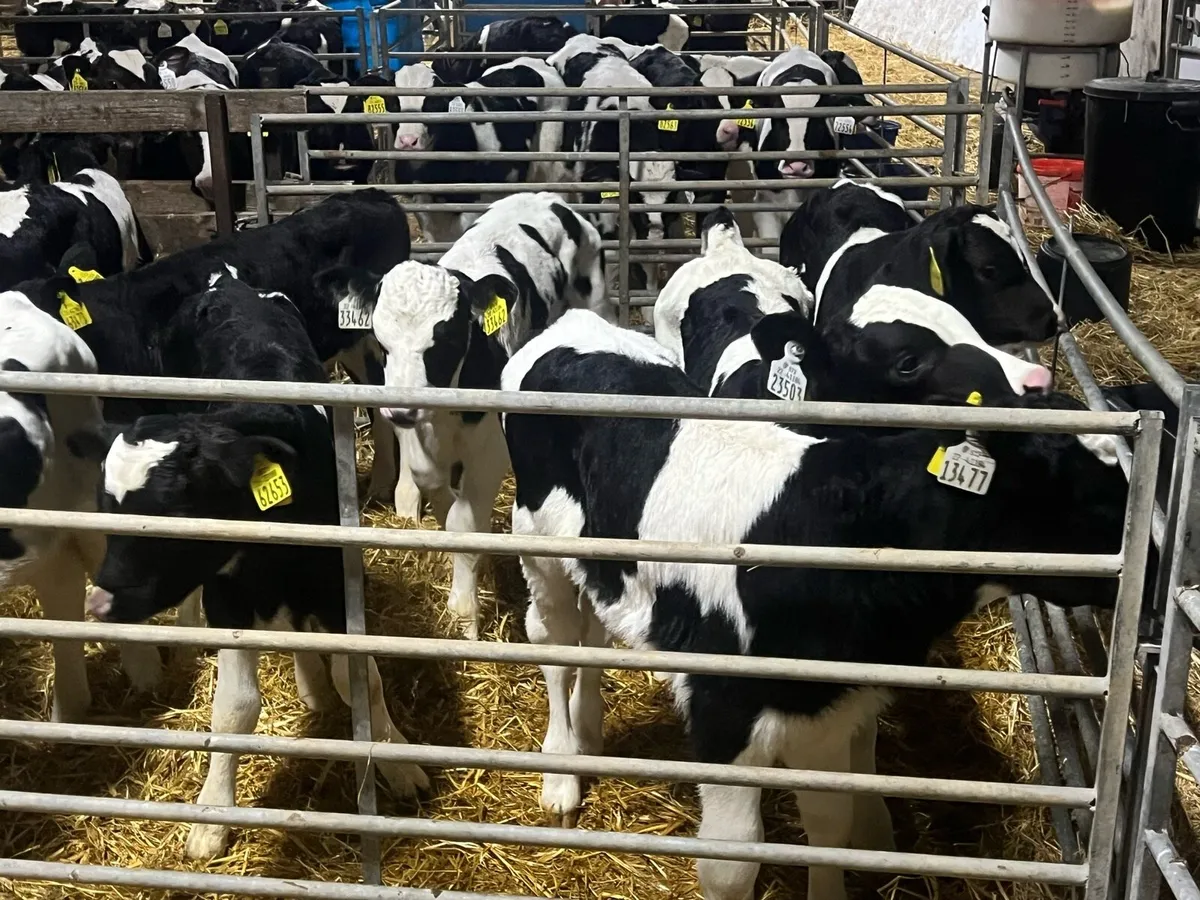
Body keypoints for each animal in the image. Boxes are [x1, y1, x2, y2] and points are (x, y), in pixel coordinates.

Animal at [68, 274, 428, 860]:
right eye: (105, 506)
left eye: (176, 512)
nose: (99, 603)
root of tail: (228, 284)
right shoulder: (228, 598)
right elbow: (235, 707)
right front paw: (214, 815)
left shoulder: (334, 582)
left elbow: (361, 680)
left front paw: (398, 761)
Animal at [357, 192, 611, 638]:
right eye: (382, 342)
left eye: (445, 339)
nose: (401, 408)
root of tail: (550, 198)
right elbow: (435, 488)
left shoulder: (490, 449)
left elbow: (465, 523)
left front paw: (464, 615)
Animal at [499, 307, 1139, 900]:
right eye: (1081, 491)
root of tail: (574, 325)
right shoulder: (723, 709)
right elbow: (732, 864)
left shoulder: (829, 702)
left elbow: (833, 825)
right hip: (535, 543)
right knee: (552, 642)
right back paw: (561, 773)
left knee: (593, 637)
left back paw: (589, 733)